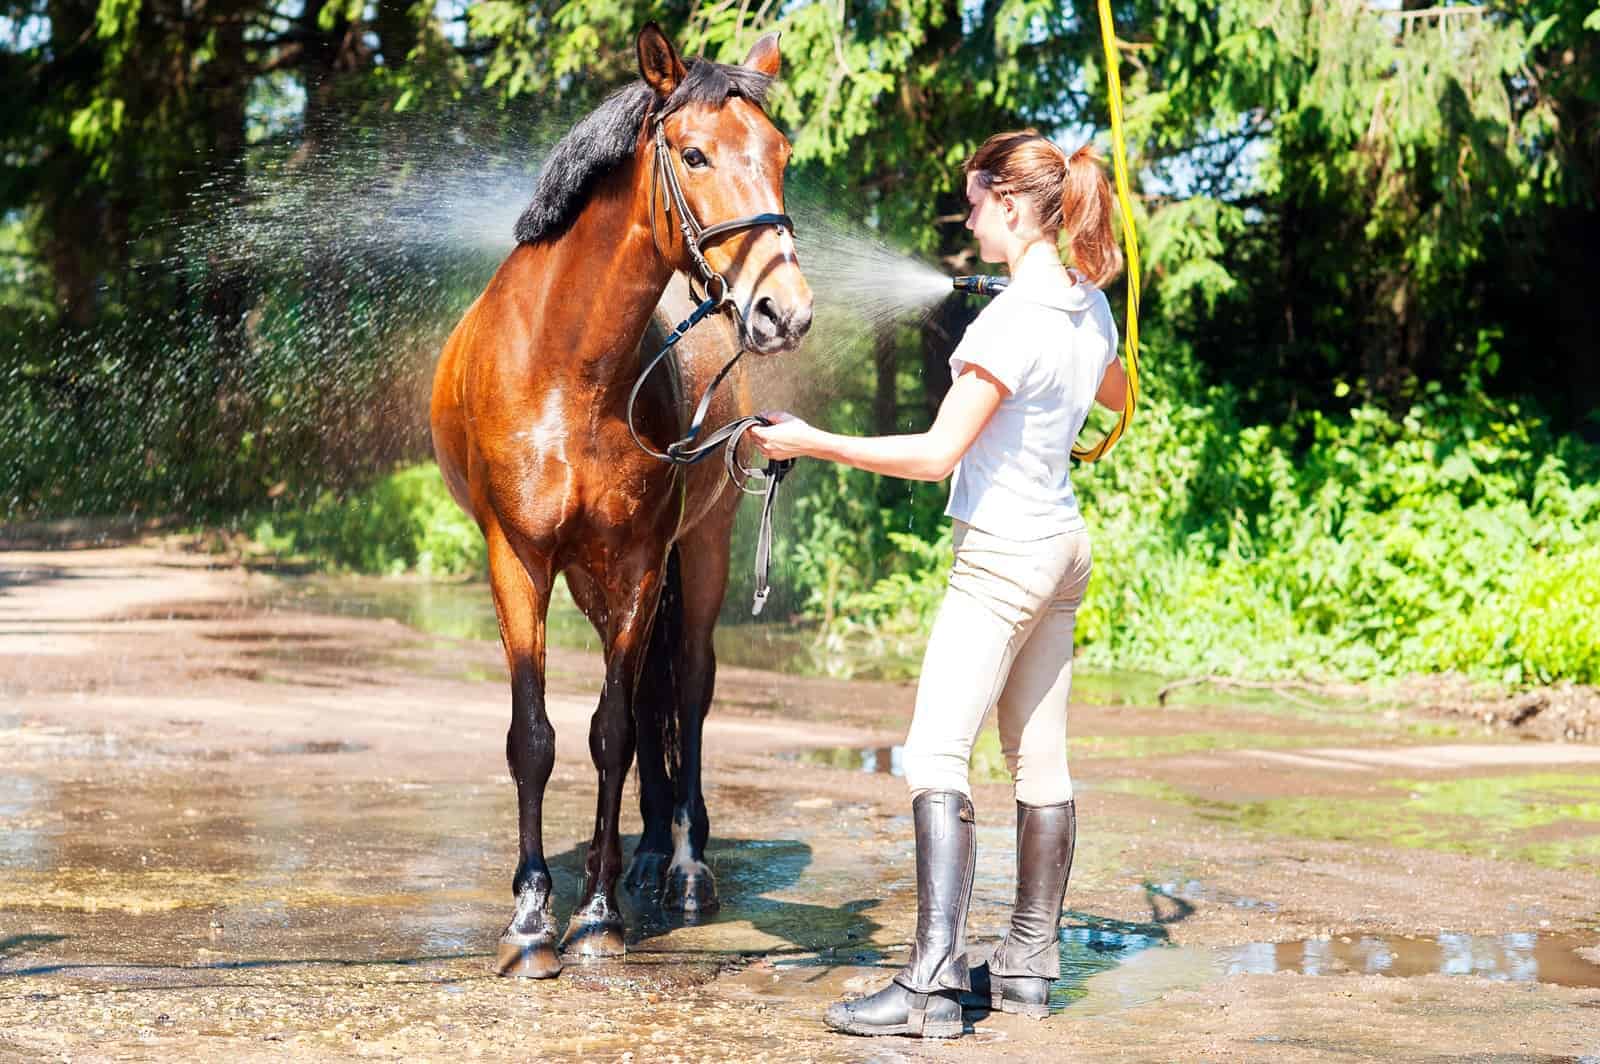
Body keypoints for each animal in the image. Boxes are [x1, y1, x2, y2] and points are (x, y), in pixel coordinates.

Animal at [429, 23, 813, 979]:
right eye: (695, 153)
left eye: (781, 154)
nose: (783, 311)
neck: (567, 370)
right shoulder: (519, 561)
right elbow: (536, 737)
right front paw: (532, 920)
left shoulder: (639, 561)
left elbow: (611, 734)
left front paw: (596, 919)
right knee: (648, 706)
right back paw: (640, 858)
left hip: (698, 553)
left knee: (685, 693)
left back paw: (681, 865)